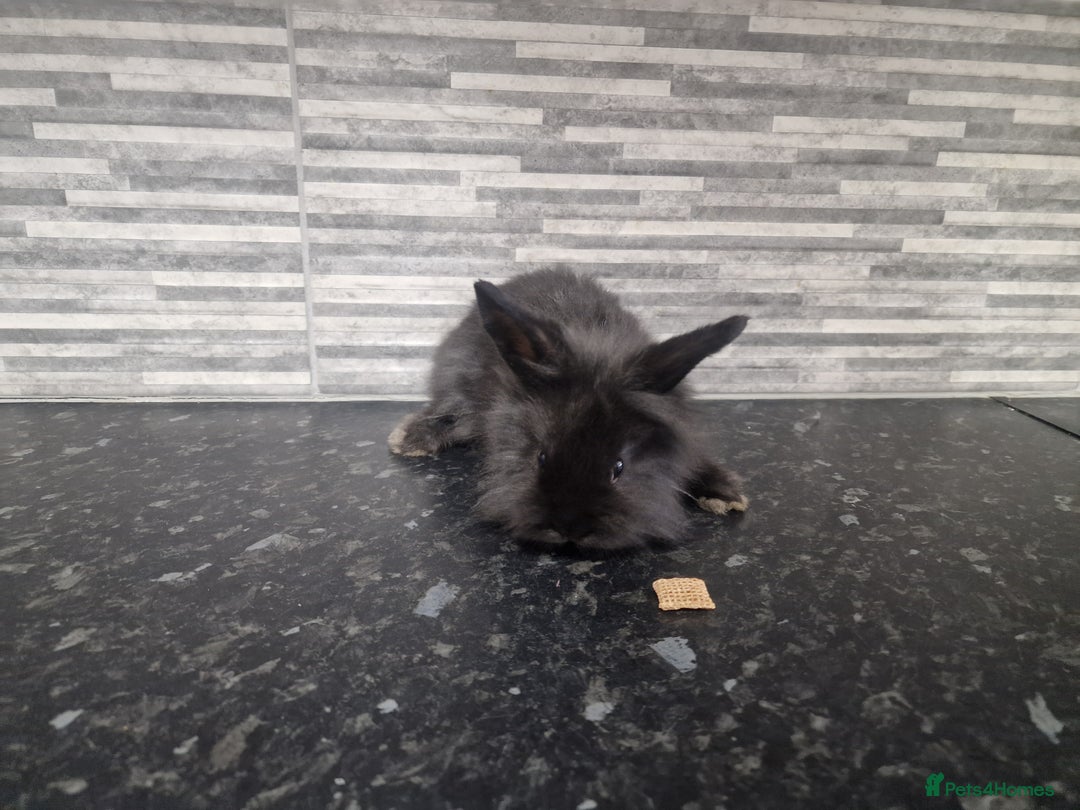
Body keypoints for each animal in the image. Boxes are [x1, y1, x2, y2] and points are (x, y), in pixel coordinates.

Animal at [388, 268, 749, 552]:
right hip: (460, 378)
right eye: (541, 458)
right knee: (451, 411)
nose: (570, 528)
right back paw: (410, 439)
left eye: (618, 467)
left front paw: (726, 493)